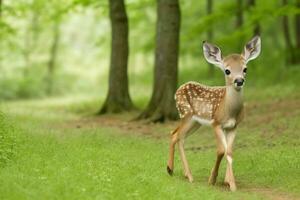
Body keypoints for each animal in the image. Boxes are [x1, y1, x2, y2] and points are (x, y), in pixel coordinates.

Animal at [166, 35, 260, 191]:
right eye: (227, 71)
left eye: (245, 68)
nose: (239, 81)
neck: (229, 110)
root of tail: (178, 89)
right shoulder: (216, 123)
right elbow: (221, 150)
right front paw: (212, 179)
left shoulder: (233, 126)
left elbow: (229, 151)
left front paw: (230, 183)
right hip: (186, 114)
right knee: (177, 135)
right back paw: (184, 174)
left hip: (195, 122)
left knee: (177, 135)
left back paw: (177, 171)